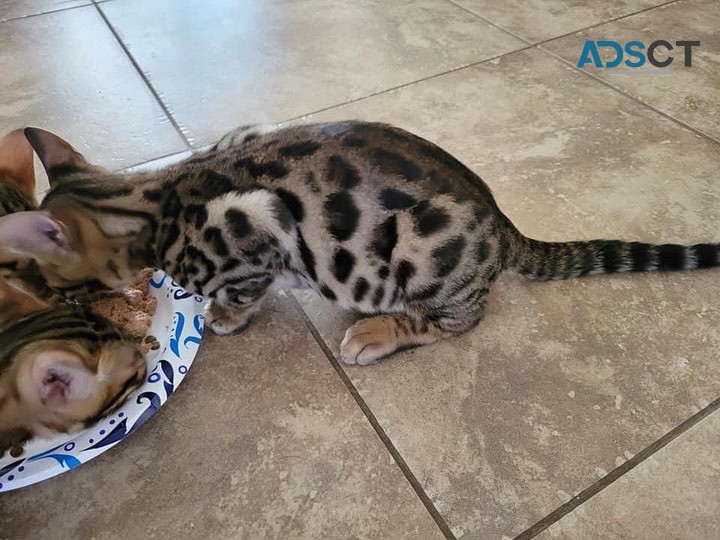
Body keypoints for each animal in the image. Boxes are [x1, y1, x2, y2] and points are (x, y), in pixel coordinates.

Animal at [0, 123, 716, 368]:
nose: (52, 303)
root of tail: (501, 221)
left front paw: (224, 316)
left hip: (425, 248)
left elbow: (245, 287)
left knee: (457, 320)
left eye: (50, 284)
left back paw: (376, 332)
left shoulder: (255, 229)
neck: (151, 201)